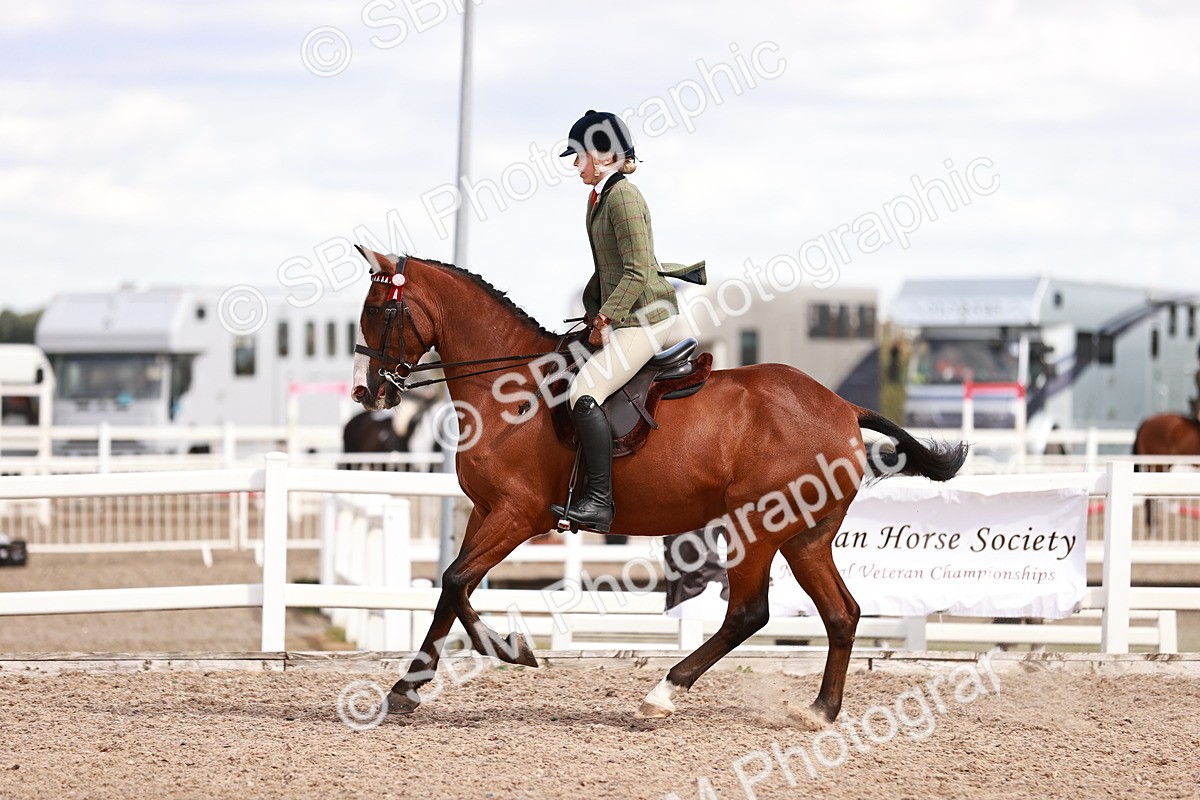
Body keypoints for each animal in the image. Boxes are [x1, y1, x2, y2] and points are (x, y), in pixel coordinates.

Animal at [349, 248, 967, 724]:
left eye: (379, 311)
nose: (367, 394)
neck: (509, 388)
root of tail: (842, 407)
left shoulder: (520, 514)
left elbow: (456, 582)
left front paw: (508, 649)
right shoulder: (485, 511)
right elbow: (450, 589)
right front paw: (409, 688)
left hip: (755, 526)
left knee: (749, 613)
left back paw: (663, 694)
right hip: (805, 537)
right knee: (842, 613)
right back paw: (820, 711)